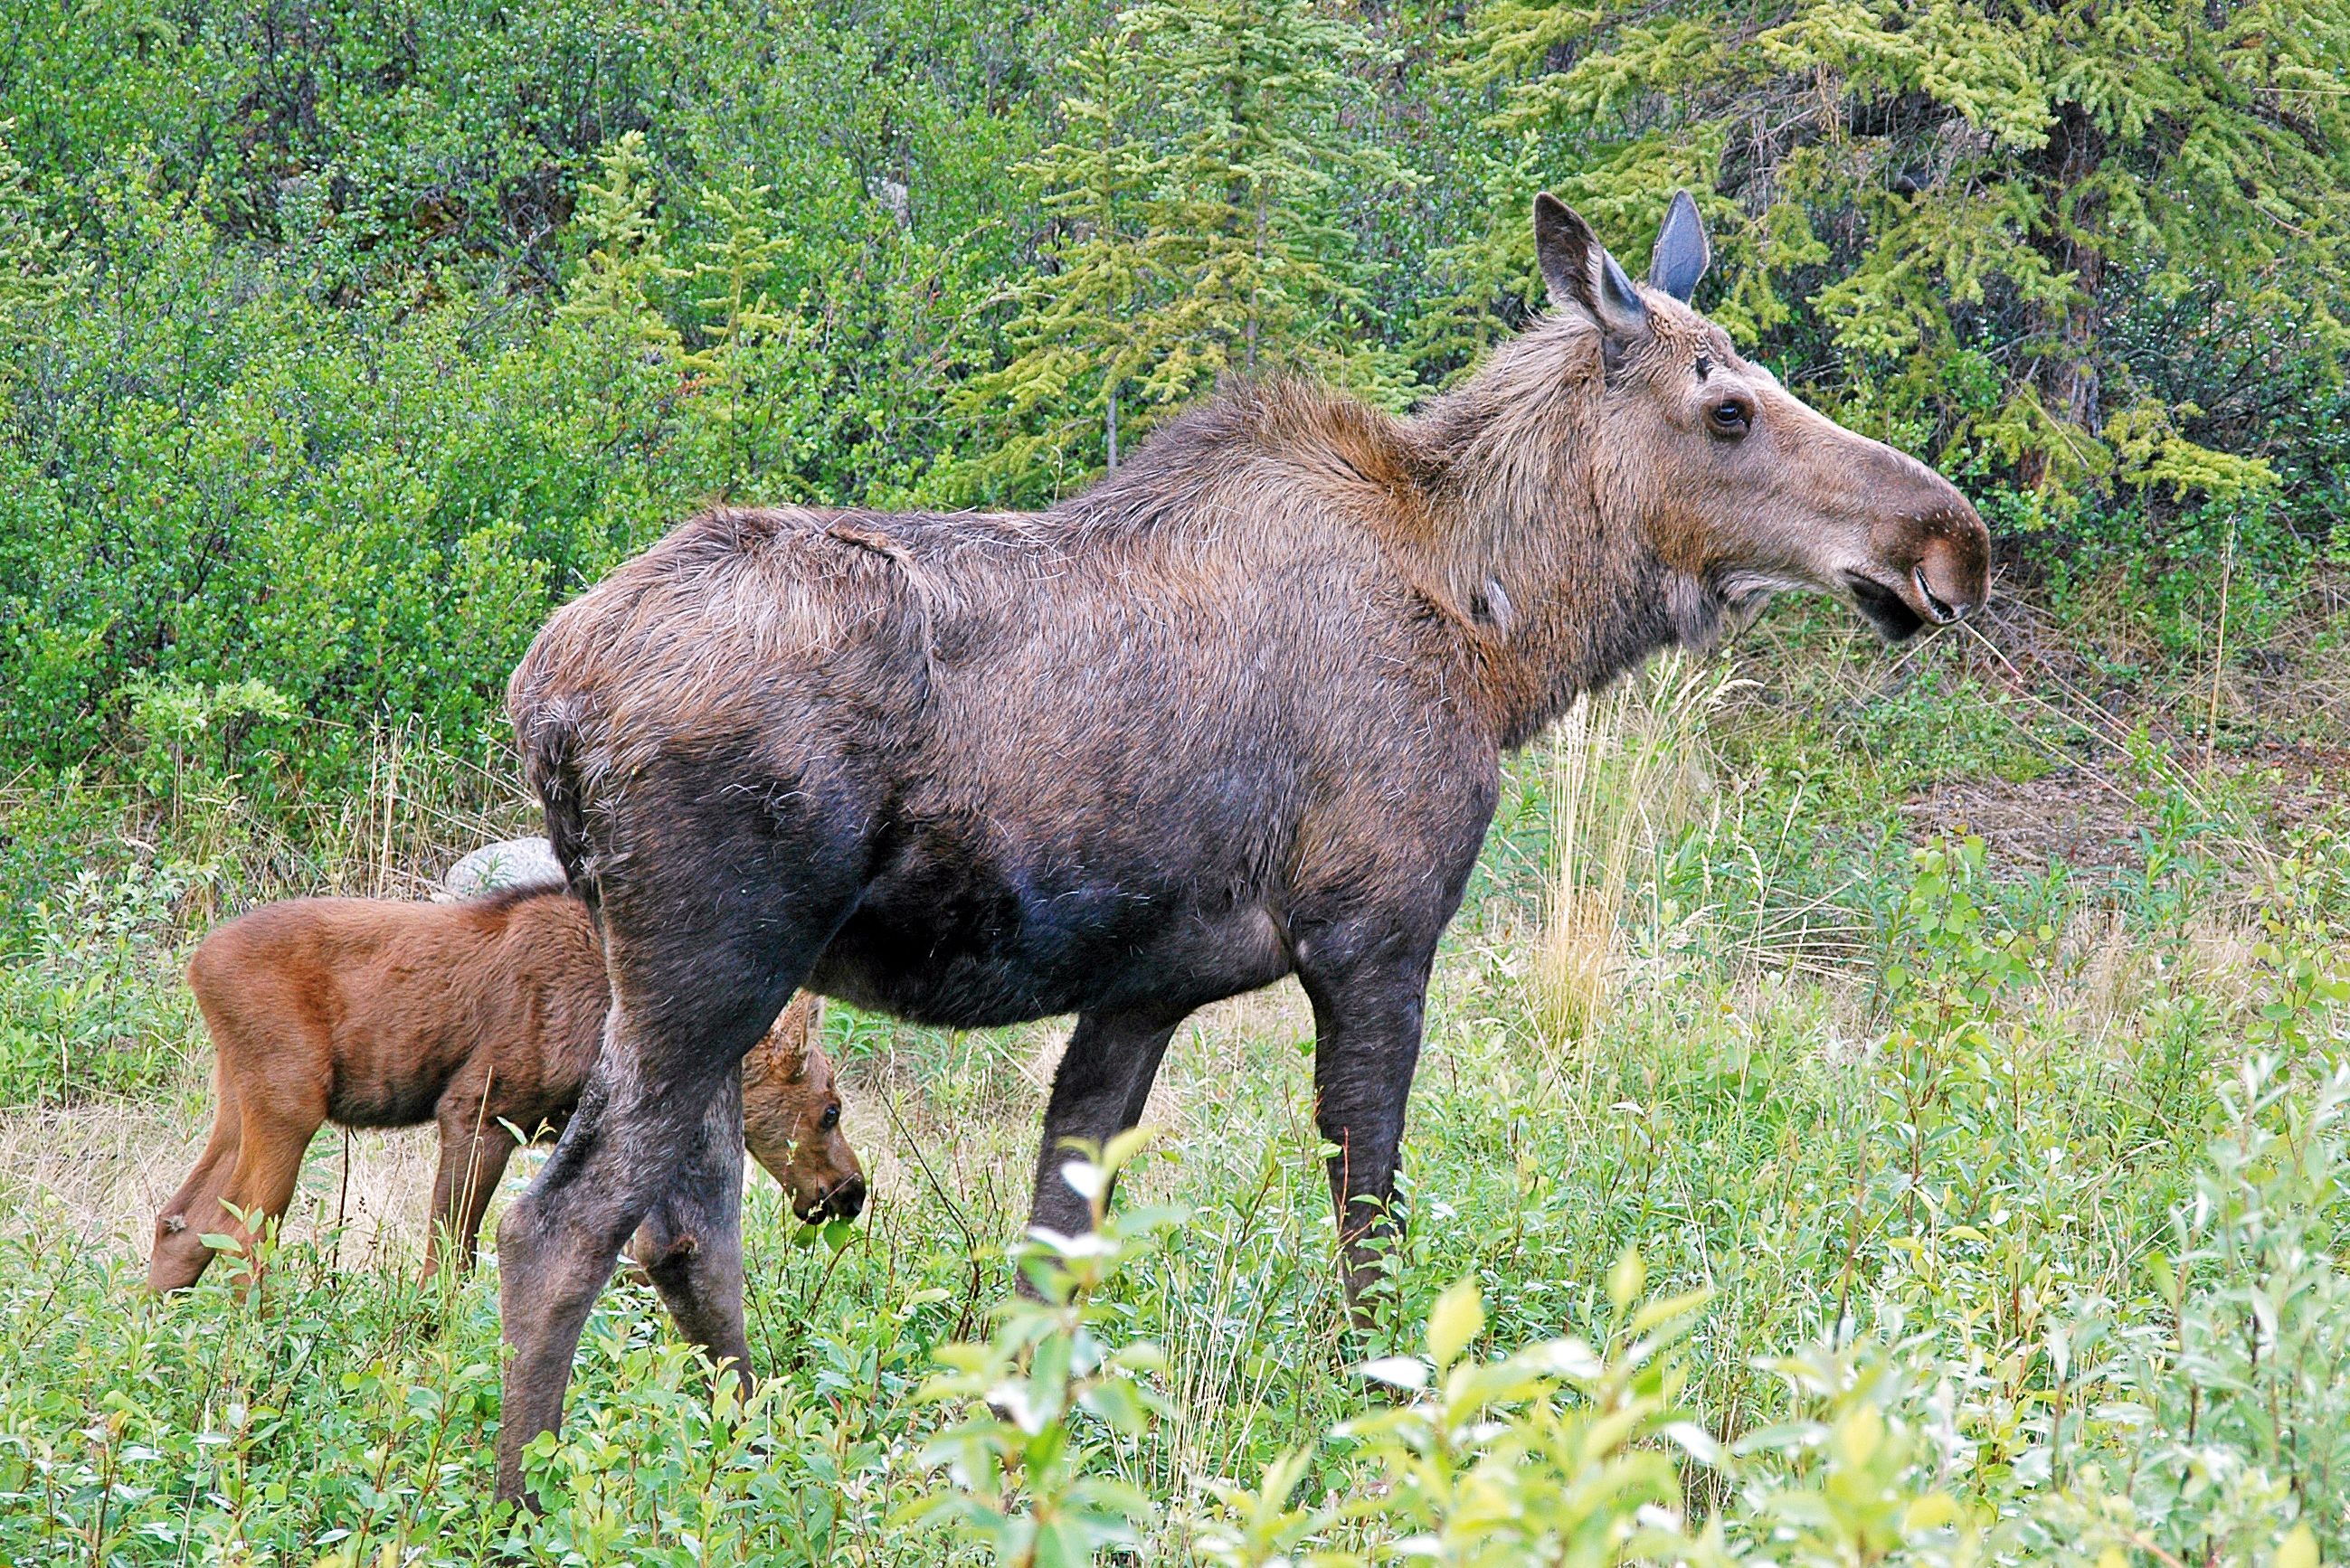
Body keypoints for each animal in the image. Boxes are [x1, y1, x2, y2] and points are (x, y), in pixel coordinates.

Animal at [148, 888, 865, 1298]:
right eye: (829, 1109)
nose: (850, 1193)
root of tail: (196, 965)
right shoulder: (477, 1109)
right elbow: (449, 1261)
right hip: (289, 1099)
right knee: (239, 1231)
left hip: (236, 1096)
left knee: (182, 1220)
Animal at [490, 190, 1983, 1504]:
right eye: (1725, 406)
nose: (1947, 541)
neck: (1506, 642)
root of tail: (543, 699)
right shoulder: (1374, 932)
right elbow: (1370, 1219)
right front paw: (1380, 1425)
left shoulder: (1139, 991)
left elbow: (1052, 1258)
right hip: (711, 964)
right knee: (559, 1225)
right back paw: (523, 1498)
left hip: (679, 987)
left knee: (689, 1231)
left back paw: (751, 1447)